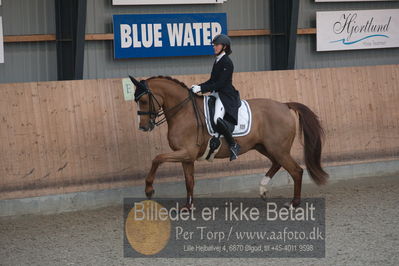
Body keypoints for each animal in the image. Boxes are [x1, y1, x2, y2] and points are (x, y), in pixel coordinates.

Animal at [130, 76, 330, 209]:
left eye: (144, 100)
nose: (143, 127)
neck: (183, 111)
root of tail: (284, 105)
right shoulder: (186, 157)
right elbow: (189, 181)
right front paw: (188, 207)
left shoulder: (186, 152)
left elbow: (157, 158)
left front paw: (149, 189)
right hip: (265, 147)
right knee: (277, 164)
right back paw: (263, 189)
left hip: (277, 149)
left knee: (296, 171)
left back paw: (294, 203)